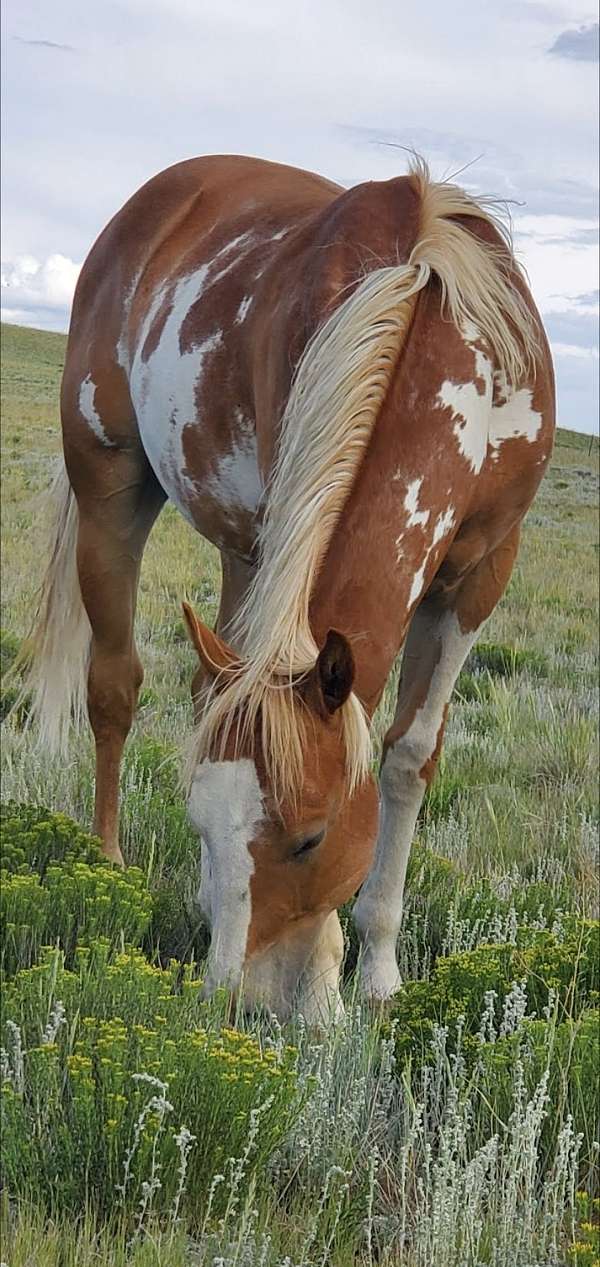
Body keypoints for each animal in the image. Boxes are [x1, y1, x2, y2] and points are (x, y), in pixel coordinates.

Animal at [21, 150, 554, 1018]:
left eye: (311, 838)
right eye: (200, 821)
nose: (239, 999)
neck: (430, 326)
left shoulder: (479, 574)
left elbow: (407, 755)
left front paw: (377, 969)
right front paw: (326, 981)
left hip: (242, 552)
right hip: (113, 489)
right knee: (113, 685)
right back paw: (109, 857)